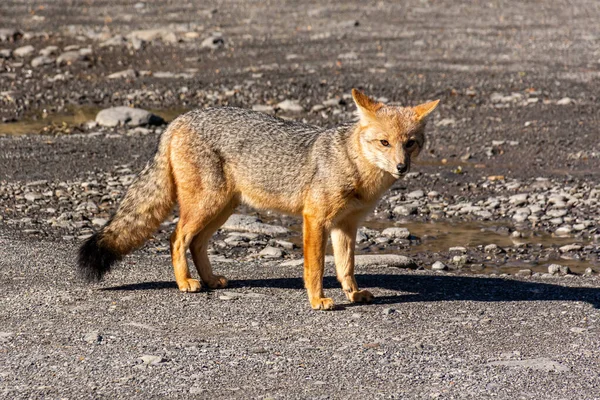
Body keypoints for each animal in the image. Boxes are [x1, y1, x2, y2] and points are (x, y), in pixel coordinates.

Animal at [77, 90, 438, 310]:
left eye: (410, 143)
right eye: (384, 142)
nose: (402, 167)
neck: (353, 166)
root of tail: (180, 119)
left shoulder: (346, 226)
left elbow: (346, 267)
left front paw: (354, 294)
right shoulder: (315, 219)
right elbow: (316, 267)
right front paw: (317, 300)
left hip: (223, 208)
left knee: (197, 243)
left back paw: (209, 280)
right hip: (207, 205)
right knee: (176, 238)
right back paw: (185, 283)